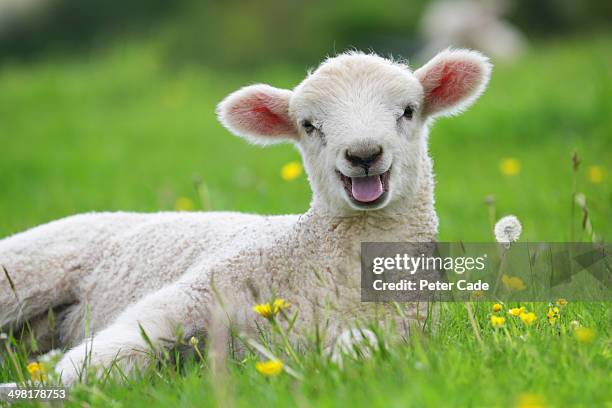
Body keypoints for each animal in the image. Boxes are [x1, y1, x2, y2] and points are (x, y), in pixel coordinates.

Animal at [0, 49, 488, 384]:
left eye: (408, 111)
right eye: (309, 125)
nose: (364, 154)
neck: (326, 266)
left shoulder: (398, 328)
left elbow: (359, 353)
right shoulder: (198, 290)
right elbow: (113, 351)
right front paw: (51, 387)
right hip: (25, 271)